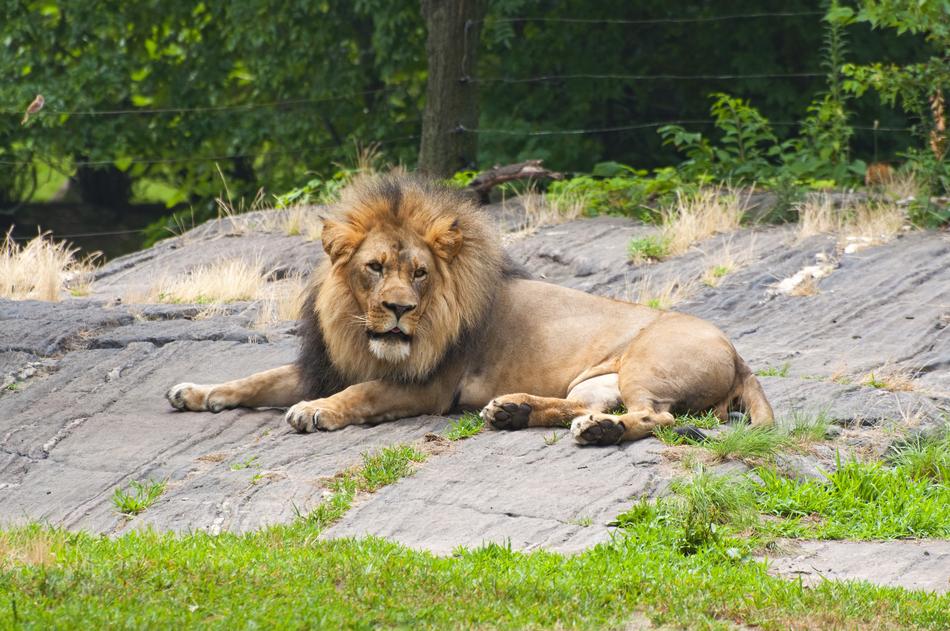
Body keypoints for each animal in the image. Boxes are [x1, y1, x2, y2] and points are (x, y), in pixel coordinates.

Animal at [166, 174, 773, 445]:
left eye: (419, 273)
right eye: (374, 267)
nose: (397, 309)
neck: (357, 329)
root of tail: (741, 355)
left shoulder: (428, 386)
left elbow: (361, 394)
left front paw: (316, 411)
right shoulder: (324, 363)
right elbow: (254, 379)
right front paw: (194, 392)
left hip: (647, 363)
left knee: (656, 417)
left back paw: (598, 432)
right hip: (594, 381)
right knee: (581, 405)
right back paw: (513, 412)